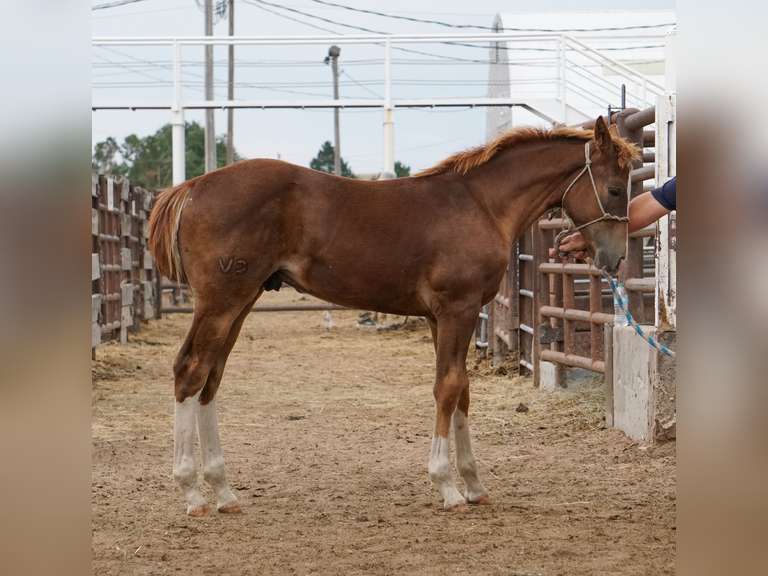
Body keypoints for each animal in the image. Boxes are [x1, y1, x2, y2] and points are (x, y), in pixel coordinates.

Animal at [148, 116, 638, 515]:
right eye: (615, 189)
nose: (615, 258)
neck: (480, 204)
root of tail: (192, 188)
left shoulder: (443, 318)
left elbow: (461, 389)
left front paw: (474, 485)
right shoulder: (456, 309)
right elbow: (447, 388)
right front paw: (448, 487)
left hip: (241, 302)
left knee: (211, 378)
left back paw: (223, 491)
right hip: (221, 301)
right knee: (190, 371)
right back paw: (192, 492)